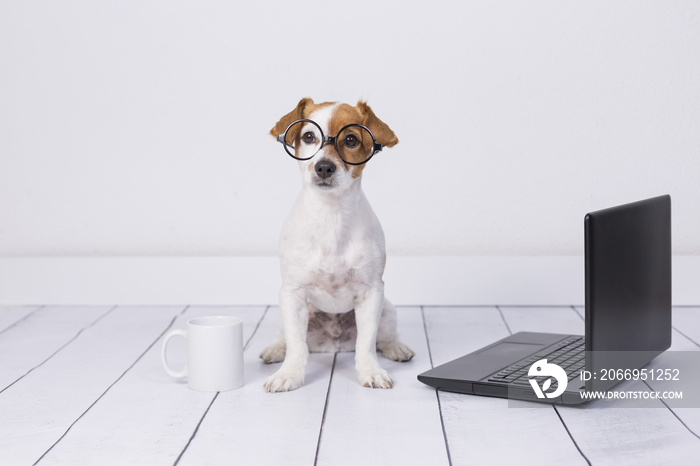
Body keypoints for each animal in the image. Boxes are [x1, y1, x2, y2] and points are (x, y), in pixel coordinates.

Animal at [262, 99, 416, 394]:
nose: (324, 167)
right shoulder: (292, 294)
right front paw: (289, 374)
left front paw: (371, 371)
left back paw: (397, 348)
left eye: (351, 139)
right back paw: (275, 349)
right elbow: (297, 346)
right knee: (285, 337)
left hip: (387, 310)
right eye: (309, 136)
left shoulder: (371, 293)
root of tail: (332, 344)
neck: (330, 217)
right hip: (282, 312)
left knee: (384, 338)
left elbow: (366, 344)